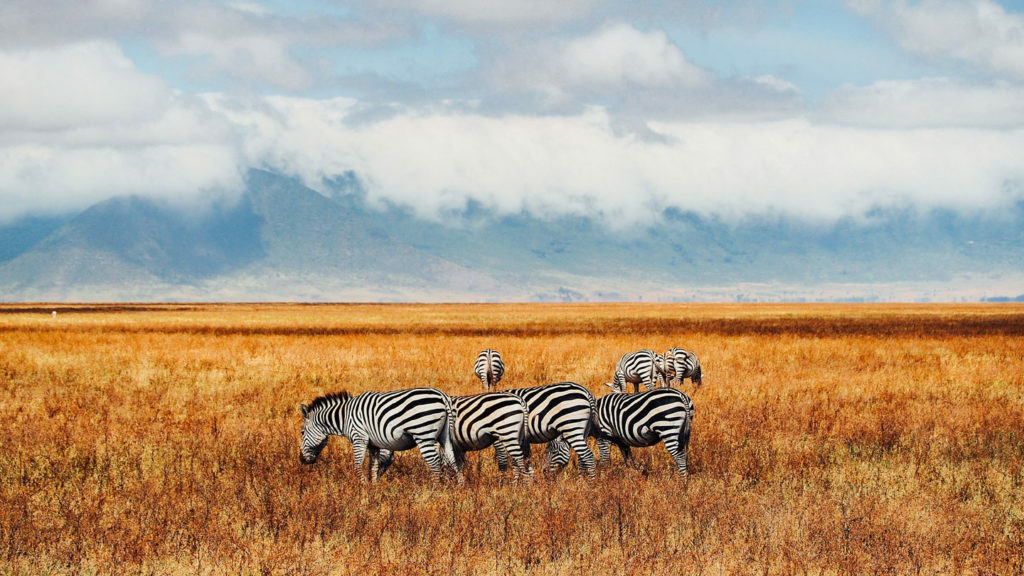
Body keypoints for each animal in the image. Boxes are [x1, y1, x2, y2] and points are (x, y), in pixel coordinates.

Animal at [299, 383, 466, 481]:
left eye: (302, 432)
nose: (301, 460)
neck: (345, 417)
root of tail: (443, 396)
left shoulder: (359, 437)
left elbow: (357, 466)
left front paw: (362, 490)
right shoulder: (373, 444)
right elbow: (373, 467)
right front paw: (373, 489)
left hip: (423, 434)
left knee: (434, 463)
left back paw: (434, 489)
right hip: (445, 435)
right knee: (452, 459)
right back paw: (459, 488)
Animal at [552, 385, 696, 475]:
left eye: (552, 451)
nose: (548, 474)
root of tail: (681, 395)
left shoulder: (604, 435)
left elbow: (605, 460)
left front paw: (603, 479)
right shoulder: (621, 441)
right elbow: (629, 460)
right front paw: (633, 478)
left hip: (668, 428)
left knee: (680, 457)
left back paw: (681, 483)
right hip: (682, 432)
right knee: (684, 455)